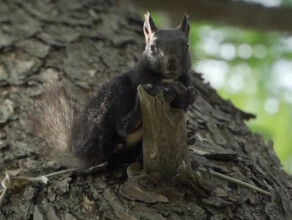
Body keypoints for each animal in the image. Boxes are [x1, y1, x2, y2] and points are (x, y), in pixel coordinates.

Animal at [29, 12, 196, 170]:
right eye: (152, 47)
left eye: (187, 45)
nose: (171, 64)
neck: (168, 79)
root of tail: (83, 154)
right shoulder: (139, 78)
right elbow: (149, 83)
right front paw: (167, 88)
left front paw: (188, 95)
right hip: (111, 99)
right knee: (120, 128)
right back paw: (135, 117)